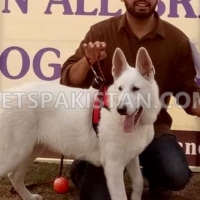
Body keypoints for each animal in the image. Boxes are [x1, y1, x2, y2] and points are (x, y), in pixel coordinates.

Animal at [0, 47, 160, 200]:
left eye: (135, 89)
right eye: (120, 89)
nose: (121, 110)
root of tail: (6, 94)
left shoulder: (132, 158)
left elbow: (139, 182)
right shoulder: (114, 167)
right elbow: (121, 196)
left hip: (30, 150)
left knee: (14, 177)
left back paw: (29, 197)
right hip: (14, 154)